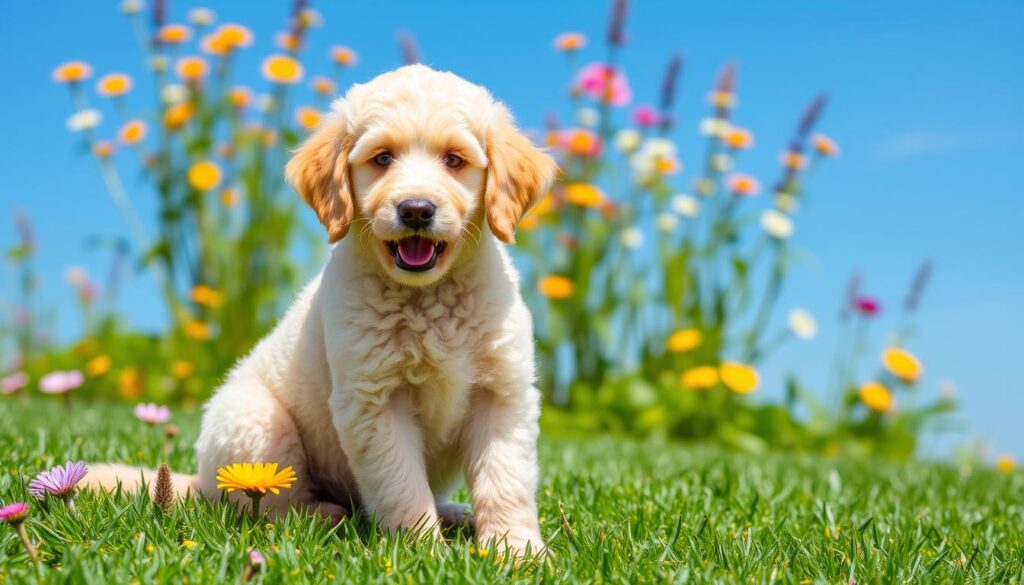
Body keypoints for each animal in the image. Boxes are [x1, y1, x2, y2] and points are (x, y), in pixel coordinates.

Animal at [84, 65, 557, 557]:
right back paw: (324, 515)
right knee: (264, 504)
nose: (416, 210)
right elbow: (402, 483)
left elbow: (505, 480)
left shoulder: (502, 393)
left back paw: (453, 514)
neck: (428, 296)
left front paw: (517, 550)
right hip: (258, 425)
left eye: (454, 160)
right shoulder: (374, 400)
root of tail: (198, 480)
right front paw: (421, 550)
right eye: (383, 158)